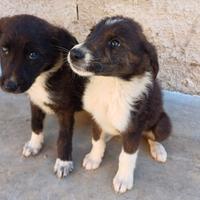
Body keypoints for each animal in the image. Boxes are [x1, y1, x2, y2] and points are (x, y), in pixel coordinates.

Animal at [0, 14, 85, 179]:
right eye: (4, 50)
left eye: (33, 55)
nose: (9, 86)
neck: (41, 77)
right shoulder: (35, 101)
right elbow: (35, 123)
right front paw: (35, 144)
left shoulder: (65, 110)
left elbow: (64, 137)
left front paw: (63, 162)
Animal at [67, 16, 172, 193]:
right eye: (91, 33)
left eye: (115, 43)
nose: (73, 53)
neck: (111, 84)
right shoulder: (97, 117)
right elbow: (97, 141)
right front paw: (94, 158)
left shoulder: (133, 128)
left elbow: (127, 157)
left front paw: (123, 179)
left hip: (162, 124)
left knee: (153, 137)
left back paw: (158, 149)